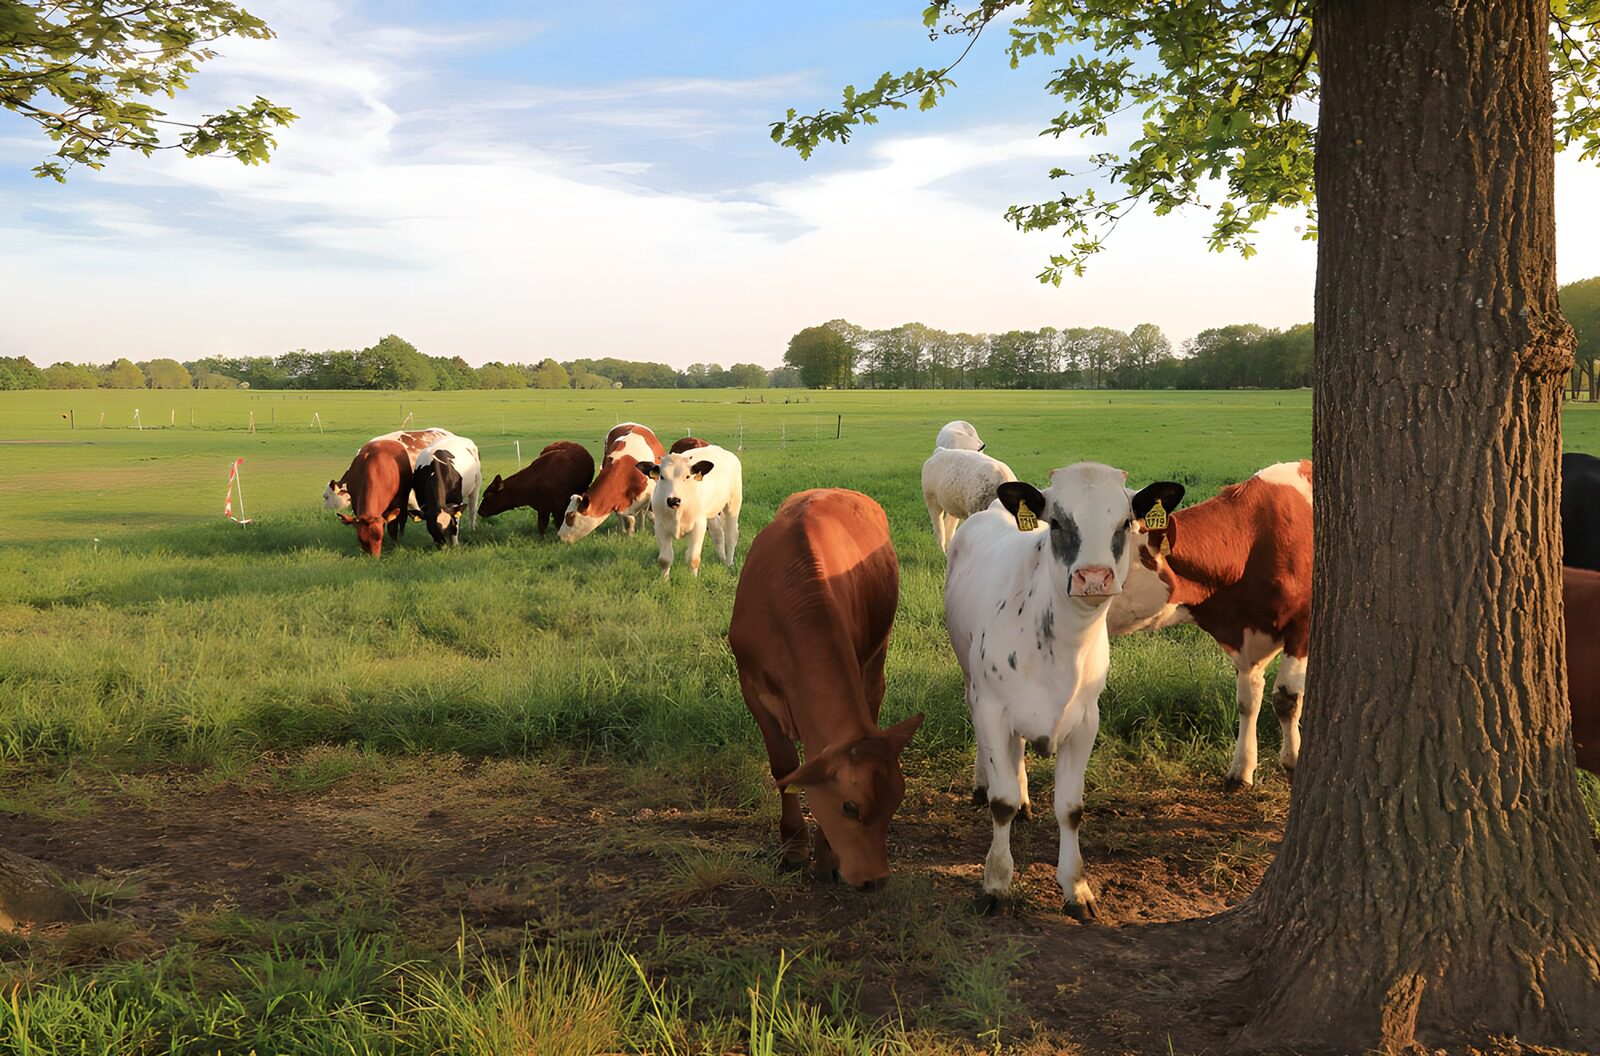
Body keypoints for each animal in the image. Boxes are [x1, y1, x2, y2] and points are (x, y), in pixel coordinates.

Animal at [638, 445, 743, 579]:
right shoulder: (660, 526)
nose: (673, 500)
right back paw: (721, 558)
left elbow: (693, 558)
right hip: (710, 512)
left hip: (733, 504)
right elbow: (665, 559)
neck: (678, 511)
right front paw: (664, 580)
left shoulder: (699, 525)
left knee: (732, 535)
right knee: (717, 532)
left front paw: (694, 580)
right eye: (662, 476)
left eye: (687, 476)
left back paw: (729, 563)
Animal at [730, 489, 924, 891]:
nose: (876, 880)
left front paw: (826, 856)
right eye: (850, 806)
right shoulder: (751, 684)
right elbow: (784, 767)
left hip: (877, 652)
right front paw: (793, 847)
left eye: (896, 802)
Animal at [946, 463, 1184, 919]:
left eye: (1125, 523)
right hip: (970, 679)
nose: (1094, 578)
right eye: (1056, 522)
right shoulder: (993, 709)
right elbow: (1000, 802)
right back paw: (983, 783)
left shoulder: (1086, 720)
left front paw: (1077, 887)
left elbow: (1071, 809)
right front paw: (996, 883)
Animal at [1106, 461, 1313, 791]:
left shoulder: (1301, 625)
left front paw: (1293, 764)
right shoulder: (1247, 636)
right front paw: (1241, 770)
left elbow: (1286, 698)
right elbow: (1247, 700)